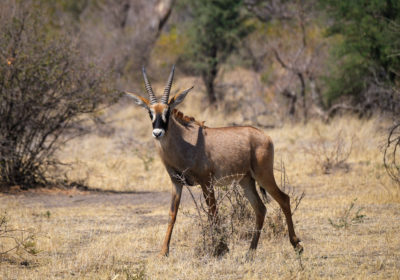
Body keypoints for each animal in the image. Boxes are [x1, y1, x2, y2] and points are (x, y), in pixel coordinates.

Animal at [126, 65, 302, 256]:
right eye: (150, 112)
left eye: (168, 111)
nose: (157, 133)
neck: (185, 141)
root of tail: (265, 136)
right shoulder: (177, 182)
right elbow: (172, 214)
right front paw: (163, 252)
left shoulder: (206, 182)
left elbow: (213, 212)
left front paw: (221, 248)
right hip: (246, 181)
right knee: (260, 208)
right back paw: (250, 252)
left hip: (264, 176)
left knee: (284, 199)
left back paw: (296, 245)